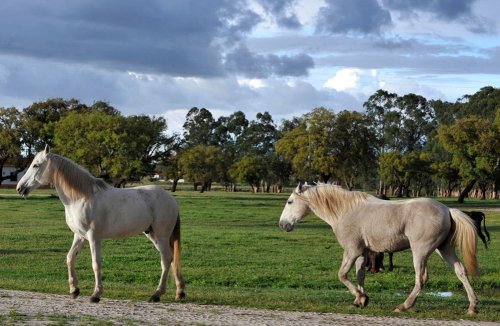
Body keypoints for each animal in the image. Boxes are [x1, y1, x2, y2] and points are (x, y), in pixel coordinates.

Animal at [17, 146, 187, 302]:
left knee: (166, 260)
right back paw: (179, 292)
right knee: (171, 259)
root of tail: (171, 199)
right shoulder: (79, 236)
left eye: (36, 165)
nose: (19, 188)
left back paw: (157, 294)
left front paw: (96, 294)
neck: (82, 198)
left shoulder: (93, 237)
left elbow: (96, 264)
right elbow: (70, 258)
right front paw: (74, 289)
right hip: (153, 234)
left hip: (161, 235)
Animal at [280, 183, 478, 314]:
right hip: (445, 249)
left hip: (420, 252)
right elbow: (360, 274)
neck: (344, 211)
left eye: (290, 202)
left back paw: (404, 305)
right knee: (461, 272)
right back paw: (472, 306)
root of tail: (447, 209)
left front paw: (361, 298)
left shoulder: (351, 251)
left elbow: (342, 275)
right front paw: (358, 300)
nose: (282, 224)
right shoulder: (362, 253)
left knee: (421, 278)